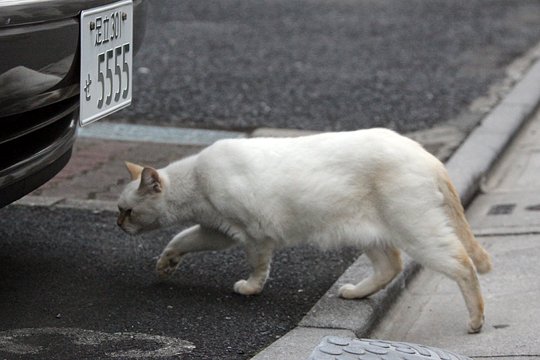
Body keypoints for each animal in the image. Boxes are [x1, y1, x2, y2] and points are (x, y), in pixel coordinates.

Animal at [117, 128, 490, 334]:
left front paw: (250, 288)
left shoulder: (254, 235)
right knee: (391, 267)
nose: (118, 225)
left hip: (415, 229)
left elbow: (258, 266)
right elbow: (180, 238)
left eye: (127, 211)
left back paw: (475, 321)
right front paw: (165, 264)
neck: (195, 181)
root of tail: (427, 156)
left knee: (462, 265)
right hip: (369, 232)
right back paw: (355, 293)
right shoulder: (218, 231)